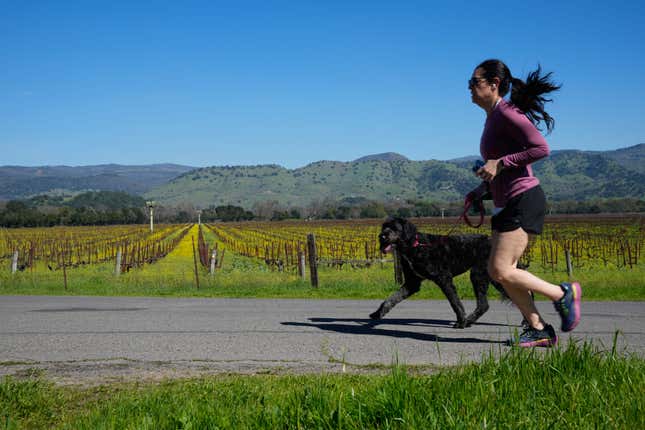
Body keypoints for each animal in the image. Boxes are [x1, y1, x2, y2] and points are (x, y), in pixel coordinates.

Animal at [370, 217, 510, 328]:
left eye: (394, 228)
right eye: (384, 227)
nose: (381, 236)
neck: (415, 246)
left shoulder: (444, 278)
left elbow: (455, 302)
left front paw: (461, 321)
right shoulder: (412, 282)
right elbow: (392, 298)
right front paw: (378, 313)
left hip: (478, 274)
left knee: (484, 303)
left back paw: (468, 321)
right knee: (486, 304)